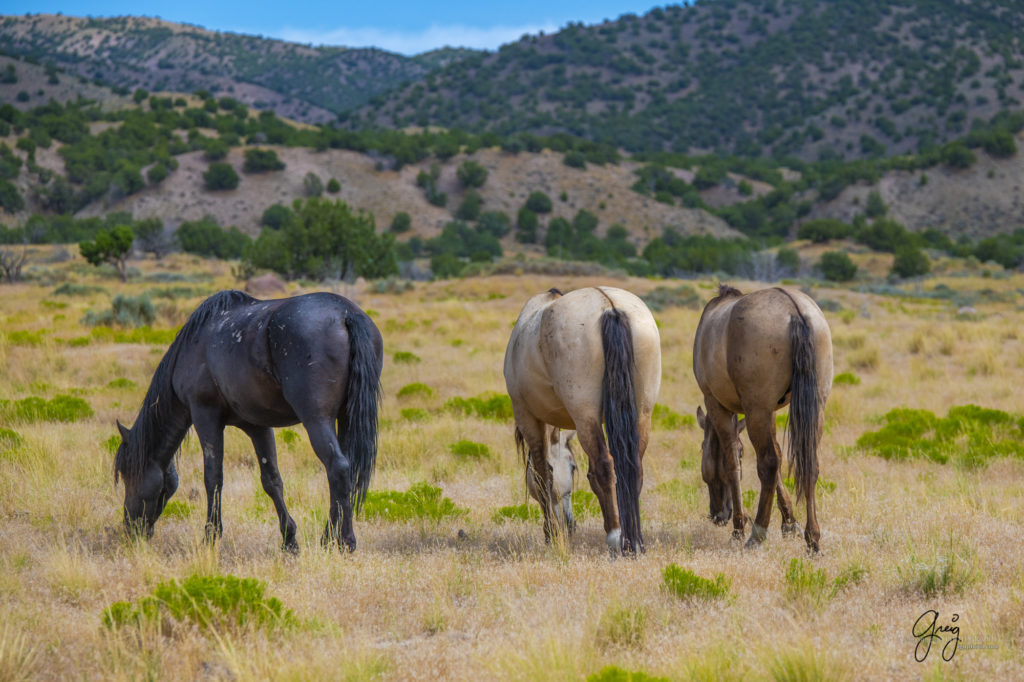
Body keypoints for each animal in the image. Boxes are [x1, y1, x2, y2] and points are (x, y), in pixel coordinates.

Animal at [113, 288, 385, 552]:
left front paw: (210, 537)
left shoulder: (205, 416)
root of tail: (346, 314)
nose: (130, 528)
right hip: (345, 416)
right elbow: (271, 480)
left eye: (127, 473)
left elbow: (213, 478)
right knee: (347, 471)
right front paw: (289, 540)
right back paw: (331, 536)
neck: (191, 347)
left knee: (337, 467)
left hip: (317, 419)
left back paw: (342, 541)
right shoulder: (257, 426)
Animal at [505, 284, 663, 552]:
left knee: (606, 466)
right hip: (640, 415)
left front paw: (550, 533)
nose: (569, 525)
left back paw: (616, 536)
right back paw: (634, 539)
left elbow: (542, 474)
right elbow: (589, 477)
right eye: (572, 467)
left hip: (584, 415)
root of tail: (609, 307)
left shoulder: (528, 417)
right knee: (632, 467)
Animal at [696, 284, 831, 548]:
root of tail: (795, 311)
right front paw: (789, 522)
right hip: (814, 408)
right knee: (809, 464)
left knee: (768, 463)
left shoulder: (717, 405)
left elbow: (732, 463)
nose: (718, 515)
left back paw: (757, 533)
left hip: (756, 411)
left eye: (702, 449)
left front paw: (739, 526)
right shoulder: (768, 413)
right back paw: (812, 538)